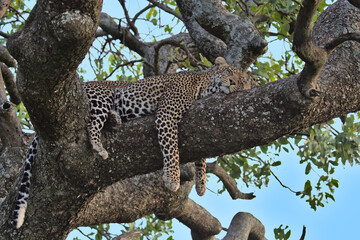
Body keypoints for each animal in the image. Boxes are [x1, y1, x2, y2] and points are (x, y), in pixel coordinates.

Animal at [11, 56, 248, 229]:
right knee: (92, 123)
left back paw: (115, 119)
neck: (204, 86)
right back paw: (99, 146)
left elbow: (201, 156)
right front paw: (172, 179)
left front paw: (201, 184)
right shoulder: (167, 113)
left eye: (242, 80)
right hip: (101, 96)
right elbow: (172, 148)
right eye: (229, 72)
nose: (233, 83)